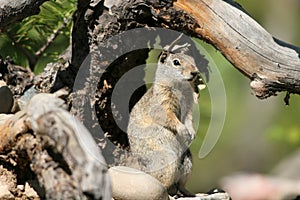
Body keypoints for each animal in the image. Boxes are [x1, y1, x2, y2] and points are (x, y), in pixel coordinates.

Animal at [125, 34, 205, 195]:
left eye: (192, 59)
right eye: (176, 62)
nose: (195, 72)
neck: (179, 86)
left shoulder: (188, 108)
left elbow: (188, 119)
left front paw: (192, 132)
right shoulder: (162, 104)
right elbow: (168, 117)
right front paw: (183, 130)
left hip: (187, 161)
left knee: (180, 185)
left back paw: (189, 192)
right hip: (167, 161)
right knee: (163, 185)